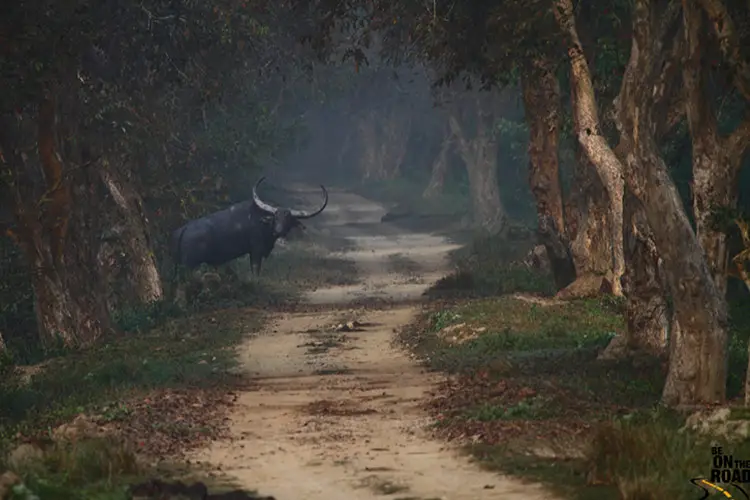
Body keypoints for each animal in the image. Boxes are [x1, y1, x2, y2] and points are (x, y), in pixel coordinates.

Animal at [175, 178, 330, 276]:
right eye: (276, 217)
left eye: (288, 219)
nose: (278, 231)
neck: (263, 222)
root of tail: (182, 230)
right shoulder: (256, 251)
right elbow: (255, 270)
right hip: (190, 265)